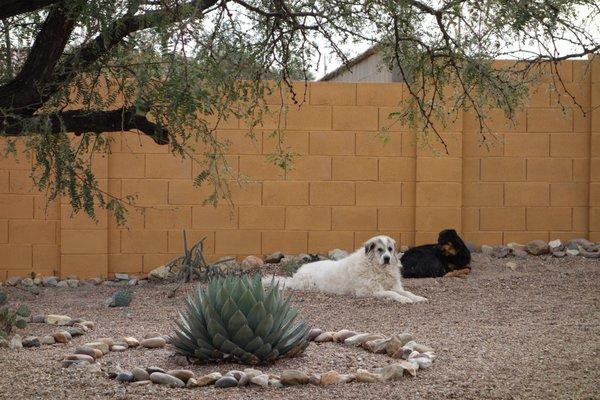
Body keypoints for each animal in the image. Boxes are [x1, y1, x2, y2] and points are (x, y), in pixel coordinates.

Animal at [266, 234, 426, 304]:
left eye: (390, 249)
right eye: (380, 250)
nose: (387, 258)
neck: (378, 269)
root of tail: (296, 274)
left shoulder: (394, 286)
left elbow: (407, 292)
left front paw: (418, 297)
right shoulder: (370, 291)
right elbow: (392, 294)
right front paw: (404, 300)